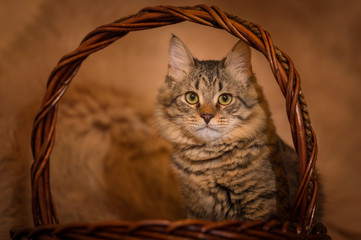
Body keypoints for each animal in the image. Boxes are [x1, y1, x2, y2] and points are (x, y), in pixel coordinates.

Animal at [155, 35, 298, 221]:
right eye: (191, 97)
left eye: (225, 99)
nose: (207, 116)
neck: (207, 162)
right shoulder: (195, 210)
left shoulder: (259, 206)